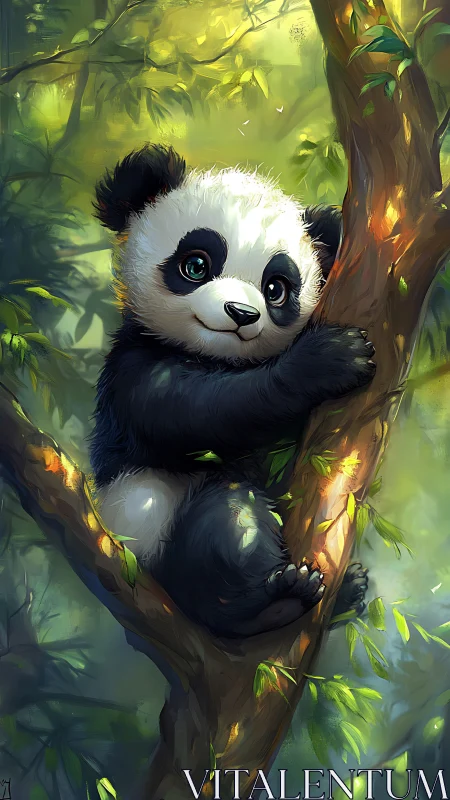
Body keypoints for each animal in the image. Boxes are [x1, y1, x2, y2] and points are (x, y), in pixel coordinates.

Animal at [90, 143, 373, 638]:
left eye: (276, 288)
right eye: (196, 265)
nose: (242, 314)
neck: (218, 357)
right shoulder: (134, 372)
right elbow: (205, 409)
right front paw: (331, 358)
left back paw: (344, 591)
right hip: (152, 535)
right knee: (227, 520)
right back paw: (266, 603)